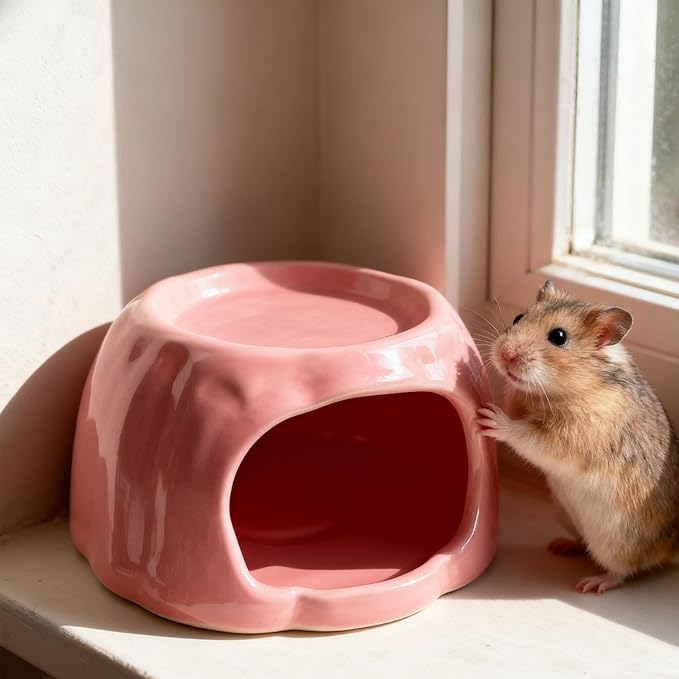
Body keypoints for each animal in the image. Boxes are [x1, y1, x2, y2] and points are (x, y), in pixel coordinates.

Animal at [476, 280, 679, 593]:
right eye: (518, 317)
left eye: (558, 337)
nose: (506, 355)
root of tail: (670, 546)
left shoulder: (566, 439)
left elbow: (523, 433)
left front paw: (489, 417)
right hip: (567, 515)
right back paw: (560, 546)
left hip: (616, 544)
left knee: (626, 570)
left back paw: (592, 584)